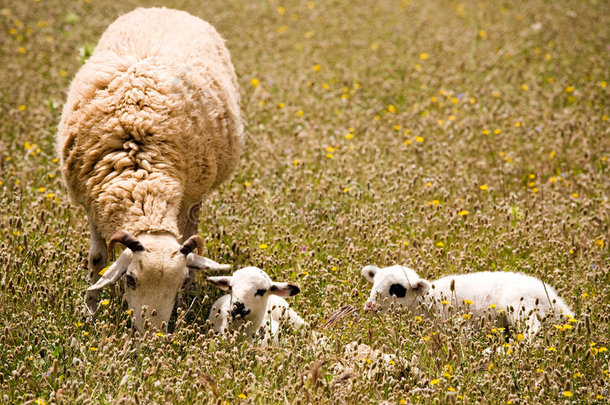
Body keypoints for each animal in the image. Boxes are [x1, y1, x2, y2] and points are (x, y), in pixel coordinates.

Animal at [55, 7, 242, 330]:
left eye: (176, 284)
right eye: (130, 280)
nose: (151, 336)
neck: (142, 182)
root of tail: (166, 9)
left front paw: (185, 300)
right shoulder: (92, 203)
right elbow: (97, 259)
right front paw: (90, 310)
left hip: (195, 194)